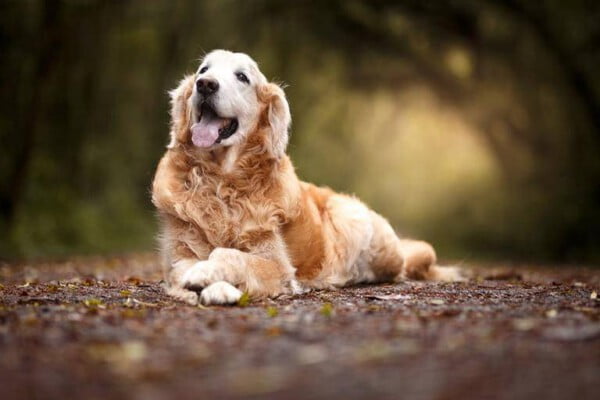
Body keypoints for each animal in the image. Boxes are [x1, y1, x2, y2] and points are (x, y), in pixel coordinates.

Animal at [150, 50, 460, 306]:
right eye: (203, 70)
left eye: (242, 77)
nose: (205, 84)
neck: (221, 181)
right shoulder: (177, 256)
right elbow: (186, 267)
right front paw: (210, 284)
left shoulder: (277, 265)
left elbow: (228, 254)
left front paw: (210, 277)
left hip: (355, 221)